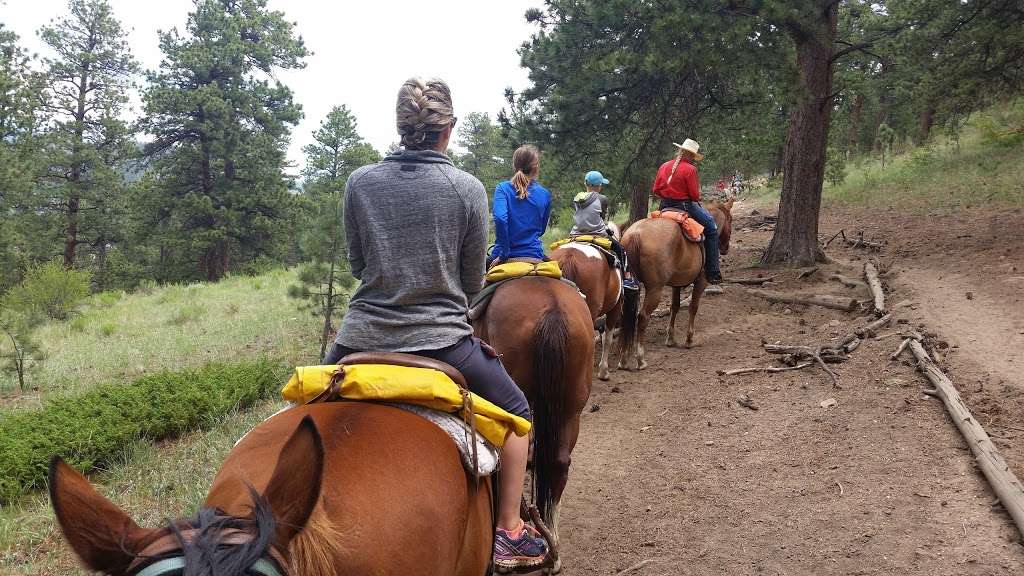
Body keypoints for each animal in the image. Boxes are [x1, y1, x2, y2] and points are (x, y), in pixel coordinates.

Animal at [614, 196, 737, 366]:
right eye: (730, 220)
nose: (725, 248)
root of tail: (636, 234)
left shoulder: (677, 284)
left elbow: (675, 307)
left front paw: (670, 338)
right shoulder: (701, 281)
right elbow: (693, 307)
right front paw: (689, 339)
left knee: (627, 317)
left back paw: (624, 358)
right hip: (655, 289)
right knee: (643, 317)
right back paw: (640, 358)